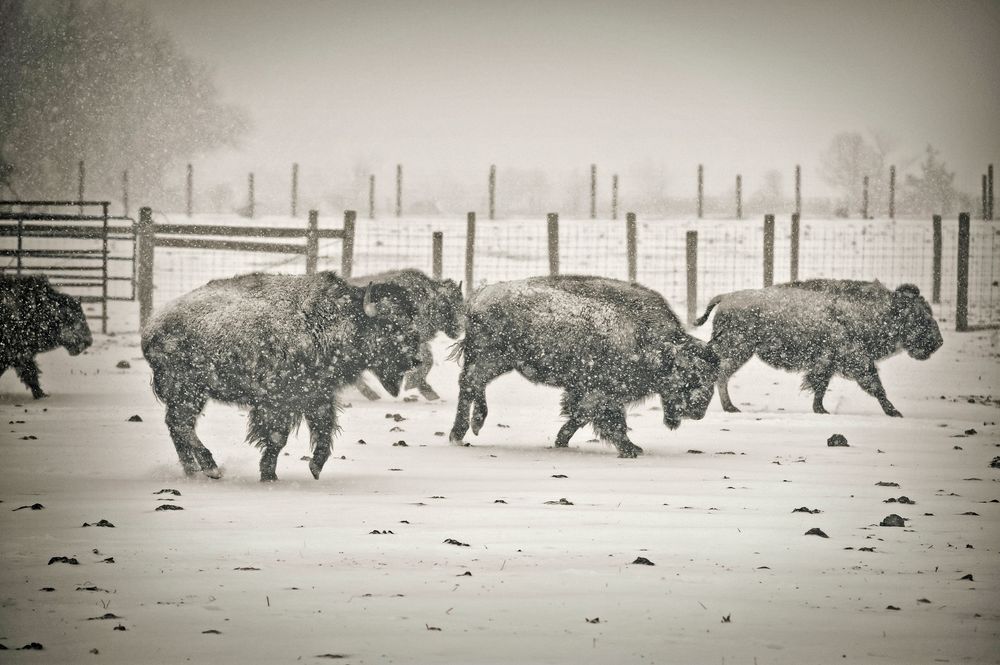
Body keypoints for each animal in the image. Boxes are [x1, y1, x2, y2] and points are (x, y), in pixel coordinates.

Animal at [141, 271, 421, 481]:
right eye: (391, 325)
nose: (415, 360)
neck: (331, 319)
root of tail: (152, 327)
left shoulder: (317, 395)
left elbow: (324, 430)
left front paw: (314, 468)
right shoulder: (279, 402)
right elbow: (278, 438)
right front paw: (269, 476)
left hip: (190, 394)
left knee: (177, 425)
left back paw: (192, 471)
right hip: (187, 389)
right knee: (181, 424)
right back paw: (211, 468)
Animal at [348, 269, 463, 400]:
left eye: (461, 303)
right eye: (445, 305)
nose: (459, 328)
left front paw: (427, 391)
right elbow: (428, 360)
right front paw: (415, 385)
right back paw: (371, 394)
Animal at [449, 276, 719, 457]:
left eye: (712, 378)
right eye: (690, 376)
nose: (698, 411)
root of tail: (478, 297)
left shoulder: (586, 391)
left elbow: (579, 415)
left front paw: (561, 441)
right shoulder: (603, 392)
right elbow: (608, 420)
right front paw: (630, 449)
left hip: (497, 362)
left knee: (472, 384)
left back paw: (466, 430)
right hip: (492, 358)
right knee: (470, 383)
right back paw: (464, 431)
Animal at [693, 279, 943, 416]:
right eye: (919, 316)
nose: (938, 342)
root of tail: (726, 297)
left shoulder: (827, 363)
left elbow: (820, 387)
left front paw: (821, 409)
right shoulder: (856, 360)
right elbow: (876, 386)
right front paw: (895, 412)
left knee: (721, 374)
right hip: (739, 350)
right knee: (722, 375)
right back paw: (731, 407)